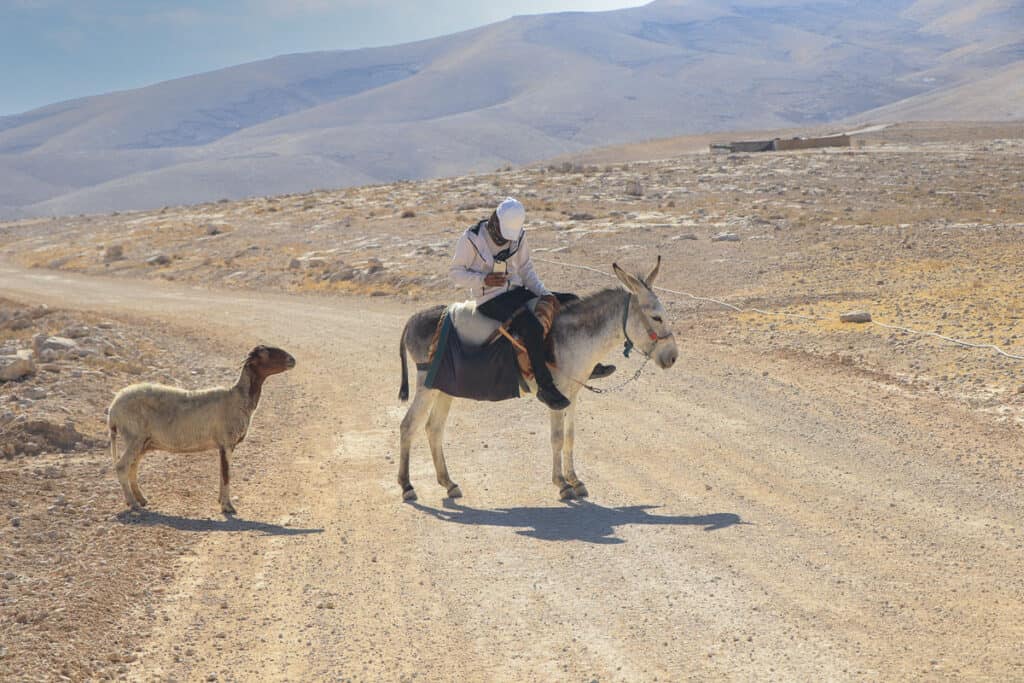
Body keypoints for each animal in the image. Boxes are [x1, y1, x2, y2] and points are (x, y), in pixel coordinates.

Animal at [106, 348, 294, 511]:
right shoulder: (227, 442)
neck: (238, 398)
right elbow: (227, 475)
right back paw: (133, 504)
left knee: (132, 467)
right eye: (267, 353)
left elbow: (222, 473)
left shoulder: (223, 445)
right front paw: (228, 507)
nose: (293, 360)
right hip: (134, 436)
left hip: (142, 441)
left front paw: (221, 501)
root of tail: (113, 409)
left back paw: (141, 499)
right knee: (122, 466)